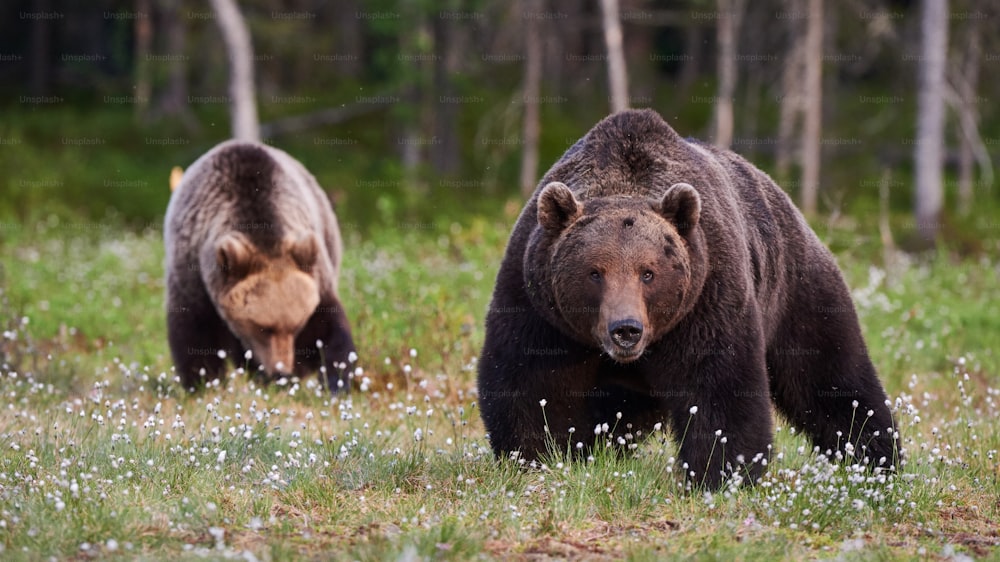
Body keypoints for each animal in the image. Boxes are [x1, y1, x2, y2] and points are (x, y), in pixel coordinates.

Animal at [169, 140, 360, 390]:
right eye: (263, 327)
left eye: (296, 325)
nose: (282, 371)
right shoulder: (192, 271)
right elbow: (195, 332)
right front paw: (203, 382)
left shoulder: (315, 278)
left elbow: (328, 326)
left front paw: (336, 380)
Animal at [476, 108, 900, 486]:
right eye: (594, 272)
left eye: (648, 272)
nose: (625, 329)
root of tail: (786, 202)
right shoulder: (539, 308)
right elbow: (530, 382)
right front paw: (537, 457)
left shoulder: (707, 296)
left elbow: (718, 386)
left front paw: (719, 474)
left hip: (796, 290)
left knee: (832, 377)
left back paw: (877, 459)